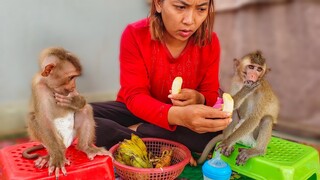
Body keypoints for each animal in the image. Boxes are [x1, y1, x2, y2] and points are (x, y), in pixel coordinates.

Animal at [23, 47, 112, 179]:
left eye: (75, 78)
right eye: (71, 77)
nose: (74, 85)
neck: (50, 85)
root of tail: (66, 144)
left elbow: (82, 102)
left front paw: (73, 101)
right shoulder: (38, 87)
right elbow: (44, 121)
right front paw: (57, 158)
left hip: (73, 134)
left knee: (85, 110)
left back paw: (85, 147)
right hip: (56, 141)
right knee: (33, 118)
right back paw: (50, 157)